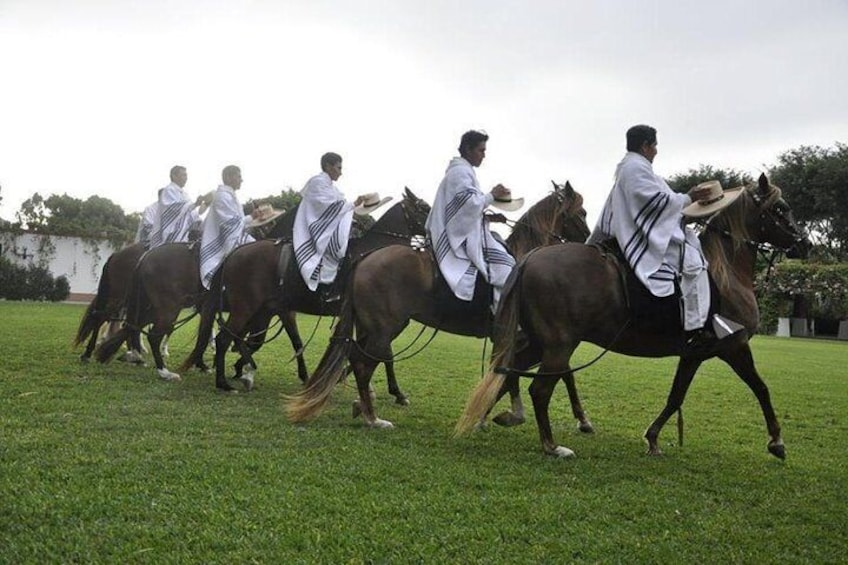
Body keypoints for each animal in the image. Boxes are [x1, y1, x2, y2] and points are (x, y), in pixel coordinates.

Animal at [178, 187, 430, 390]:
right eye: (424, 208)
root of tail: (233, 254)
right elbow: (382, 351)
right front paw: (393, 390)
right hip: (244, 308)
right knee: (224, 339)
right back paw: (223, 381)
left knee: (233, 338)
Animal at [284, 183, 588, 426]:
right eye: (582, 212)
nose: (587, 241)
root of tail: (366, 258)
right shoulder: (523, 337)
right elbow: (531, 372)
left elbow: (533, 371)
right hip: (385, 327)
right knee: (361, 363)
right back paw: (372, 417)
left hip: (373, 327)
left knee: (356, 356)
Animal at [458, 174, 808, 460]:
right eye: (781, 208)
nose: (801, 242)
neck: (726, 276)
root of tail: (529, 259)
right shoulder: (733, 346)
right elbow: (761, 388)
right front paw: (776, 441)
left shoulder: (694, 354)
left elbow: (676, 396)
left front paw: (653, 438)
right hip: (558, 345)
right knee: (539, 390)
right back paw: (551, 445)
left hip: (539, 343)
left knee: (505, 372)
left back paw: (494, 416)